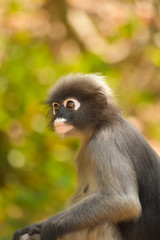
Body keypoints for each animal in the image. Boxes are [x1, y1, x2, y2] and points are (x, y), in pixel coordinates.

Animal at [12, 73, 160, 240]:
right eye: (56, 106)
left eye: (70, 104)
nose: (59, 114)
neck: (102, 123)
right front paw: (36, 227)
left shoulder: (105, 143)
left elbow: (123, 201)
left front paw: (48, 228)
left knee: (102, 223)